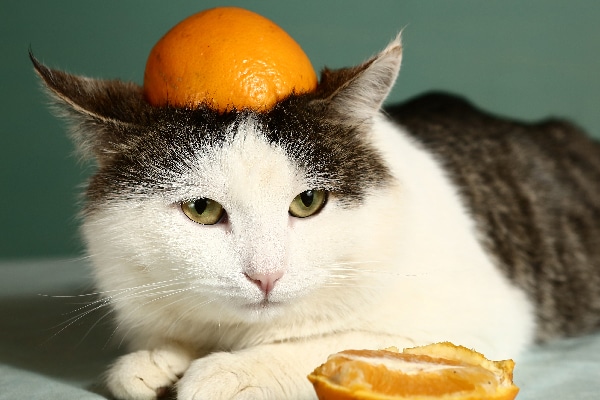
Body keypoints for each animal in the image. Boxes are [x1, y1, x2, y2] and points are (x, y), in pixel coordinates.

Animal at [31, 34, 600, 400]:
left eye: (309, 203)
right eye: (202, 209)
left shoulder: (477, 319)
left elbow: (338, 346)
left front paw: (228, 372)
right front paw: (155, 360)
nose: (265, 276)